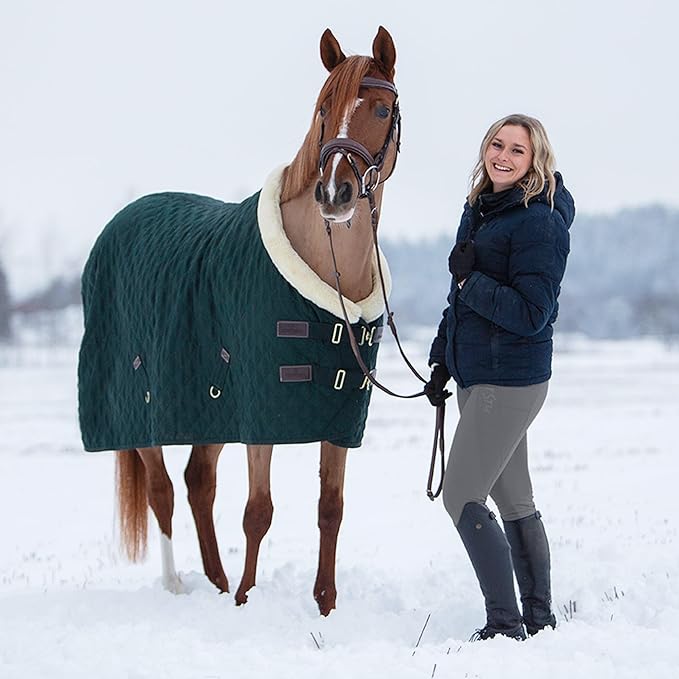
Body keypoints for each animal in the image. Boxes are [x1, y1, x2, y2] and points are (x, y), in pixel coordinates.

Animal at [77, 26, 401, 616]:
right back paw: (178, 585)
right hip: (143, 410)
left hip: (208, 411)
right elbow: (258, 511)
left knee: (198, 481)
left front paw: (324, 605)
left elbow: (331, 508)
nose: (335, 193)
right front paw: (249, 600)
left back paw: (216, 580)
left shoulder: (339, 418)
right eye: (323, 109)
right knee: (162, 490)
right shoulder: (258, 416)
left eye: (383, 109)